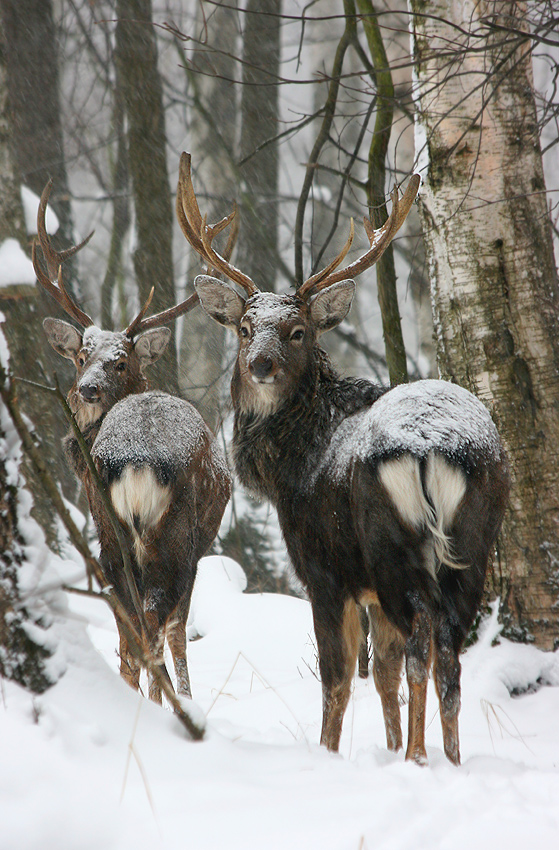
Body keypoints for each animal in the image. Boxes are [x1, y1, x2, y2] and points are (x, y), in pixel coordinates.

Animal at [33, 181, 232, 704]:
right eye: (82, 356)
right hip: (175, 537)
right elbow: (178, 631)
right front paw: (186, 698)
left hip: (110, 535)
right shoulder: (198, 548)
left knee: (129, 631)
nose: (87, 391)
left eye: (120, 361)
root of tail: (136, 459)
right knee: (154, 626)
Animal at [176, 152, 512, 760]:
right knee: (448, 651)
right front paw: (388, 746)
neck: (291, 466)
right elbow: (379, 675)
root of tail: (433, 446)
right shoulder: (368, 587)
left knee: (422, 645)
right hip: (474, 536)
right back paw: (449, 758)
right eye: (245, 327)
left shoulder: (324, 569)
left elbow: (338, 678)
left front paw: (332, 752)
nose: (260, 365)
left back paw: (420, 757)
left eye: (297, 330)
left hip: (392, 544)